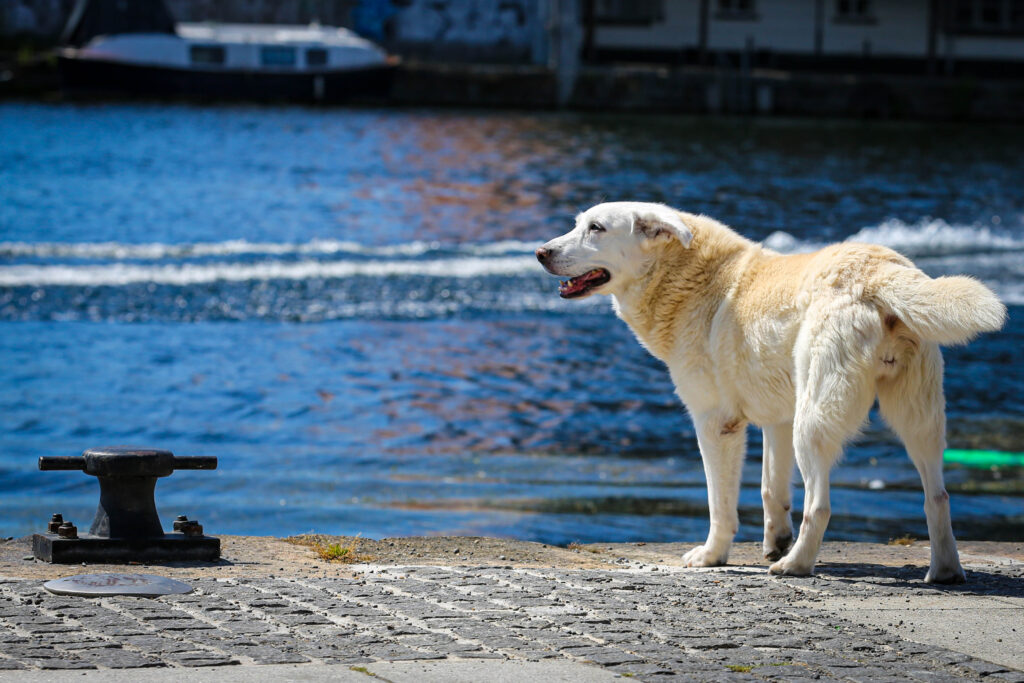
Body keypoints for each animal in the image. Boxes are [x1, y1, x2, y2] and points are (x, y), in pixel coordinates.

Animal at [540, 202, 1003, 581]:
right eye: (577, 224)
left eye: (596, 228)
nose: (541, 252)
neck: (688, 276)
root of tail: (881, 271)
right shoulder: (777, 420)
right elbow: (771, 490)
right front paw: (775, 541)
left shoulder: (716, 423)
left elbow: (720, 503)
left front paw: (712, 556)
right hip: (917, 419)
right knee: (938, 497)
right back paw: (944, 572)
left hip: (813, 423)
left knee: (820, 505)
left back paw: (795, 565)